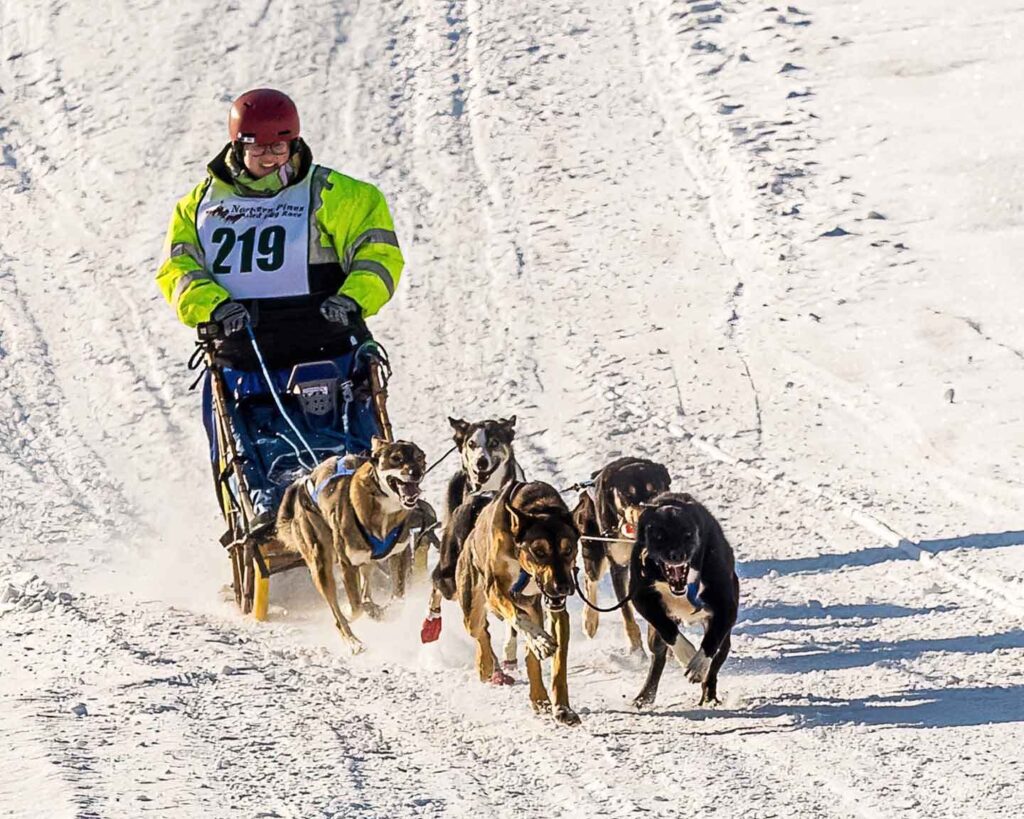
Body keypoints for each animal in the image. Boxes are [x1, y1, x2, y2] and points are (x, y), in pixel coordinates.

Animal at [274, 438, 425, 655]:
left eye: (420, 458)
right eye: (396, 458)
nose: (416, 472)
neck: (383, 511)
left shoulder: (399, 553)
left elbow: (398, 597)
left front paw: (384, 610)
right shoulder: (348, 564)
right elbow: (354, 608)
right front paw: (352, 612)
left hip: (368, 561)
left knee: (366, 591)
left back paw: (372, 608)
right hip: (321, 565)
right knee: (339, 615)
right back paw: (353, 641)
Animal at [454, 479, 581, 724]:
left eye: (568, 549)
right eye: (538, 551)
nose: (563, 587)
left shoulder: (557, 609)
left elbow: (559, 662)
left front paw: (563, 708)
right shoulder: (496, 590)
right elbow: (518, 617)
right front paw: (541, 641)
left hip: (535, 607)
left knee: (530, 655)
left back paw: (539, 697)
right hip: (472, 607)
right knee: (481, 632)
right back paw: (487, 664)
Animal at [626, 493, 741, 708]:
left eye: (687, 534)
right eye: (659, 535)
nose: (677, 555)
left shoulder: (726, 606)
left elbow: (711, 641)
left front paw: (697, 666)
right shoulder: (641, 597)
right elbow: (668, 629)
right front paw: (687, 654)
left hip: (723, 634)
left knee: (715, 661)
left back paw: (708, 695)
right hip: (654, 637)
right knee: (658, 657)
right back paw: (645, 696)